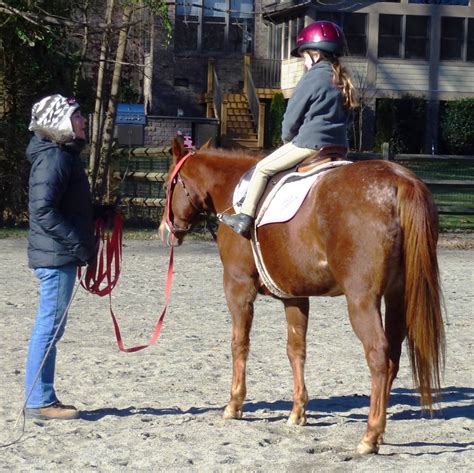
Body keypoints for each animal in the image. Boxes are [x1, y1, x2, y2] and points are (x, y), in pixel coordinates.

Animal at [160, 137, 444, 454]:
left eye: (167, 184)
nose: (166, 231)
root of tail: (400, 180)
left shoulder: (238, 287)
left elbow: (239, 344)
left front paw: (234, 405)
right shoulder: (295, 297)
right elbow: (296, 350)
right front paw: (297, 412)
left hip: (362, 301)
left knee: (379, 355)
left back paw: (370, 435)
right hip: (397, 297)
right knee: (393, 355)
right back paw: (379, 432)